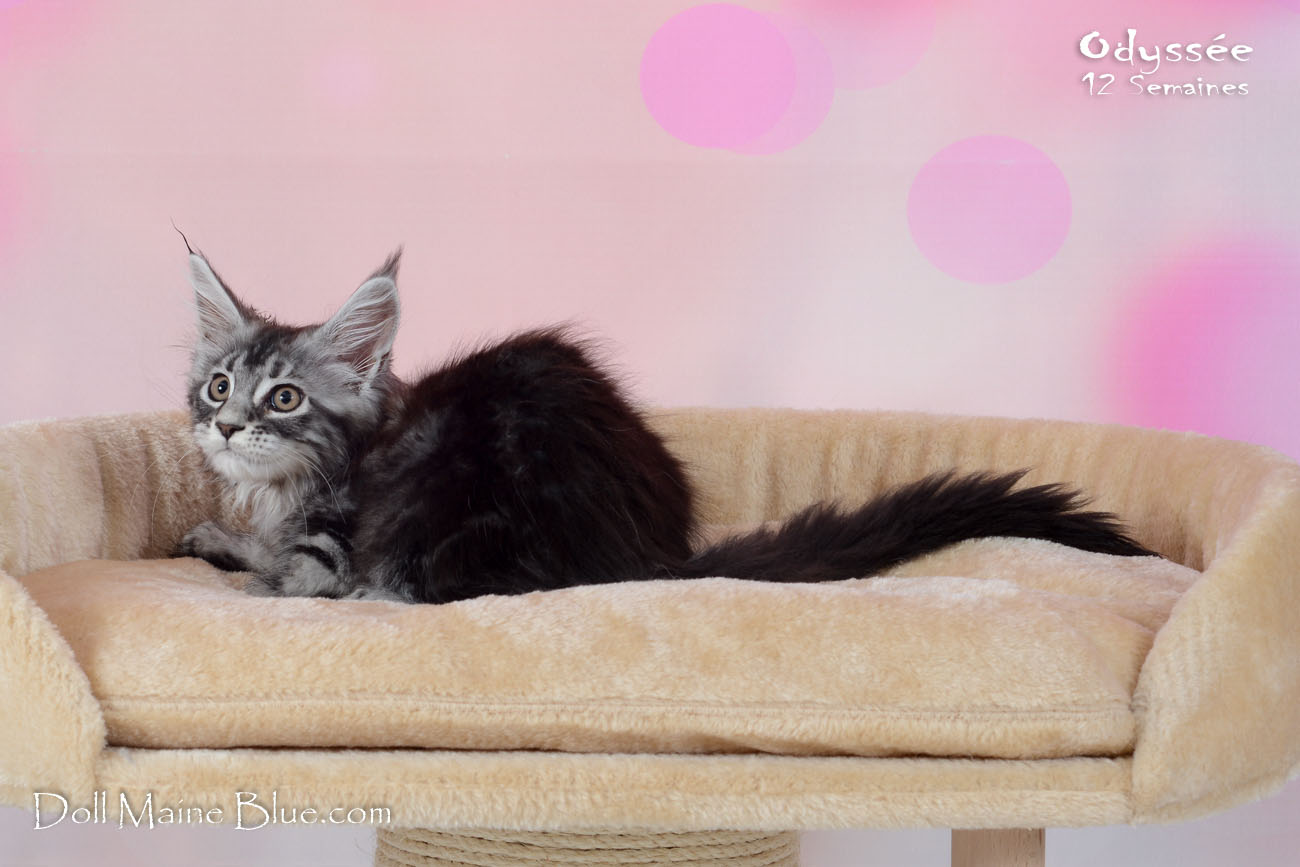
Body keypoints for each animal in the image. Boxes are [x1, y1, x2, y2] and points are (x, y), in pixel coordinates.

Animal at [176, 246, 1153, 603]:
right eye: (217, 385)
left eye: (285, 399)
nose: (224, 427)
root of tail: (633, 560)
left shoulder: (333, 546)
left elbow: (284, 575)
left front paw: (225, 543)